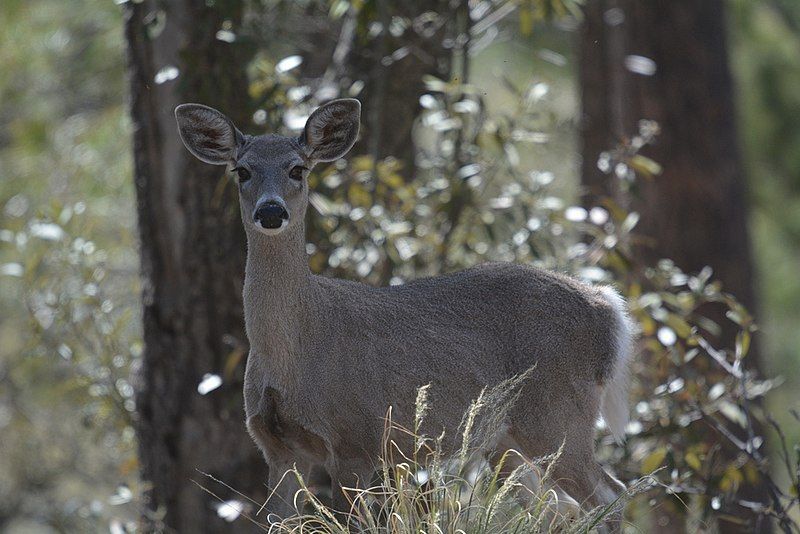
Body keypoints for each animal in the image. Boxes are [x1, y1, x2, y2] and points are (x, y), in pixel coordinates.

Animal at [177, 98, 636, 524]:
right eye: (242, 171)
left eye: (297, 169)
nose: (271, 211)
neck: (293, 354)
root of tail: (607, 306)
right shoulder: (276, 447)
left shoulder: (357, 441)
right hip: (504, 439)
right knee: (557, 508)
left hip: (557, 413)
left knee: (610, 496)